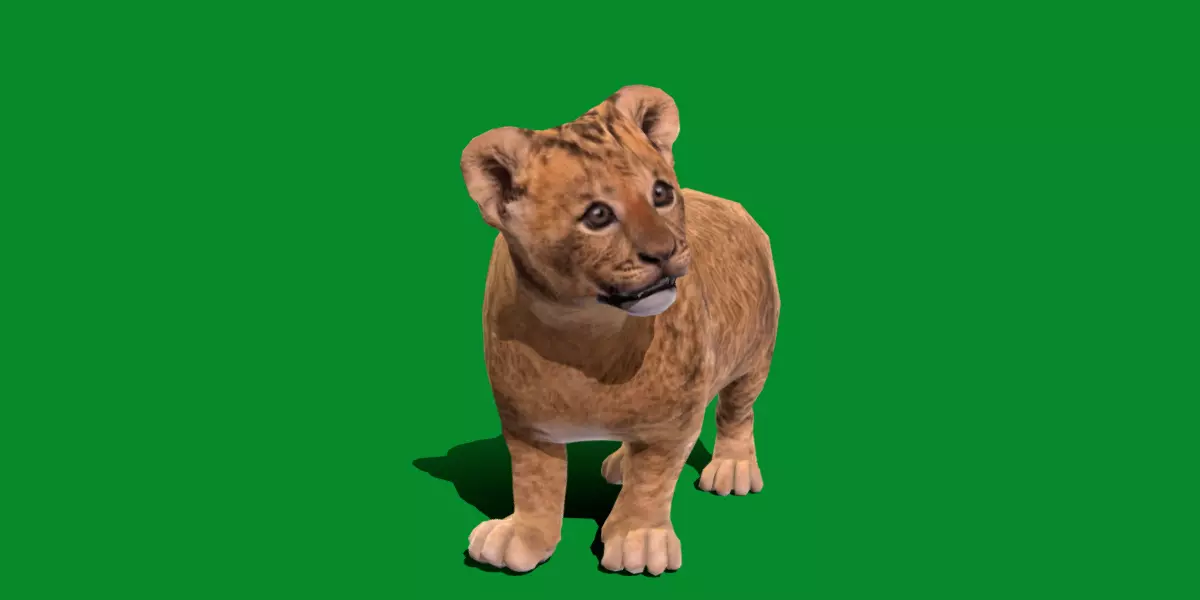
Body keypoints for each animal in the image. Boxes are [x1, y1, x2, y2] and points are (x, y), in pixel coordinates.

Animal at [458, 85, 780, 576]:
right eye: (597, 215)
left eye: (661, 193)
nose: (665, 252)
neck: (585, 336)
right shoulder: (526, 422)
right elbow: (534, 482)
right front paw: (524, 535)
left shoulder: (673, 421)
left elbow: (653, 481)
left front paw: (638, 538)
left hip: (755, 355)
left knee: (737, 412)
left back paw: (732, 467)